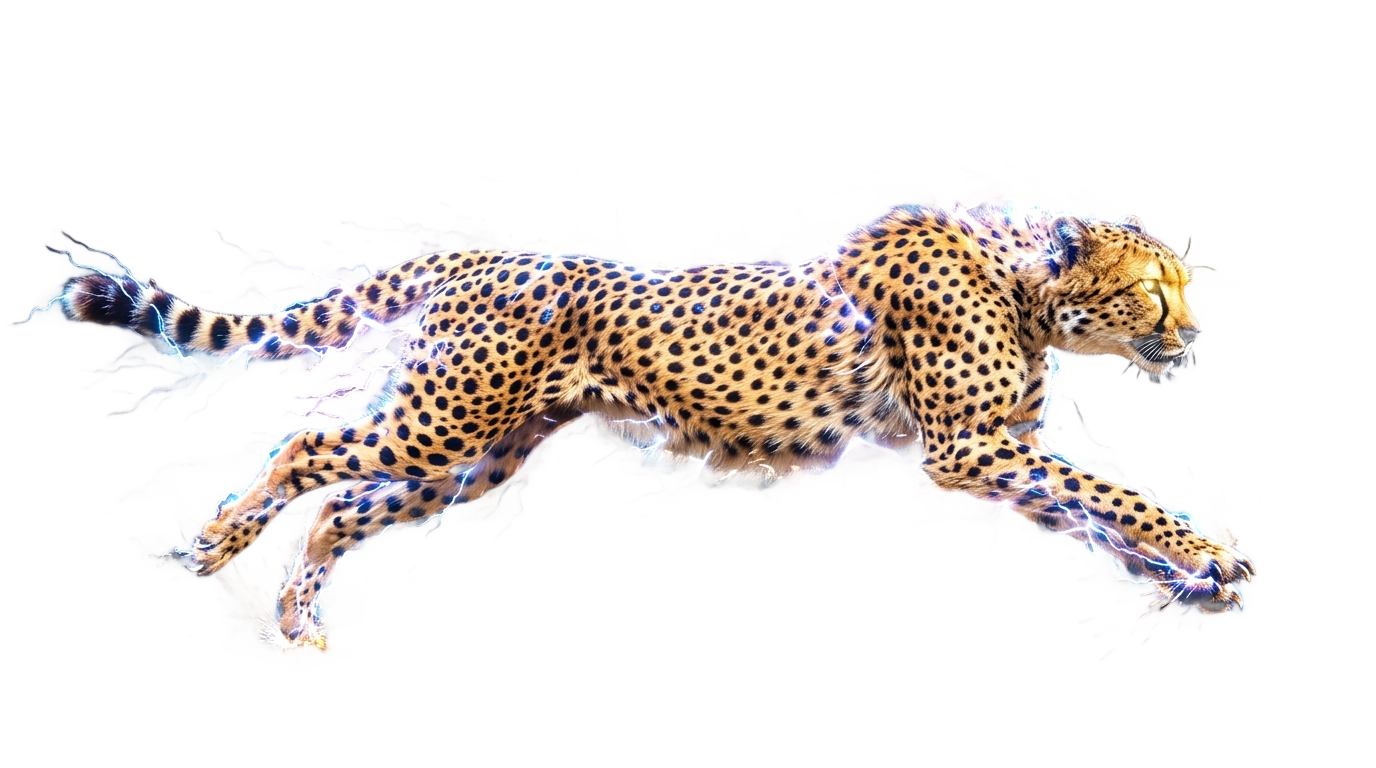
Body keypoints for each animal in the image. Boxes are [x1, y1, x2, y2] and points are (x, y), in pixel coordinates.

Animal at [60, 196, 1254, 646]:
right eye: (1150, 289)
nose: (1190, 334)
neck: (1022, 286)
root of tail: (489, 250)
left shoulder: (1001, 454)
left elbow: (1091, 513)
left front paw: (1190, 580)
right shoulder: (968, 449)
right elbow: (1114, 494)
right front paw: (1209, 550)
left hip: (470, 458)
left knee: (345, 508)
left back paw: (295, 618)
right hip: (440, 427)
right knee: (309, 450)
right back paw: (213, 551)